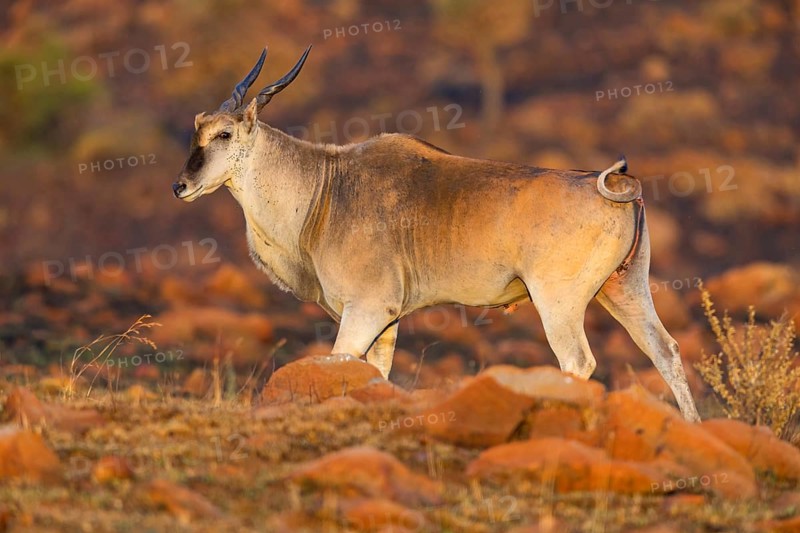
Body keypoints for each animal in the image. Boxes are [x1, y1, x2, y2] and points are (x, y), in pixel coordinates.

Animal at [173, 46, 700, 422]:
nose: (181, 186)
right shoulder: (384, 322)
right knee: (666, 352)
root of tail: (616, 186)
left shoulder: (366, 311)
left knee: (579, 363)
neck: (326, 185)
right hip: (624, 292)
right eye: (198, 126)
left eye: (224, 134)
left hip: (559, 303)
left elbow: (341, 363)